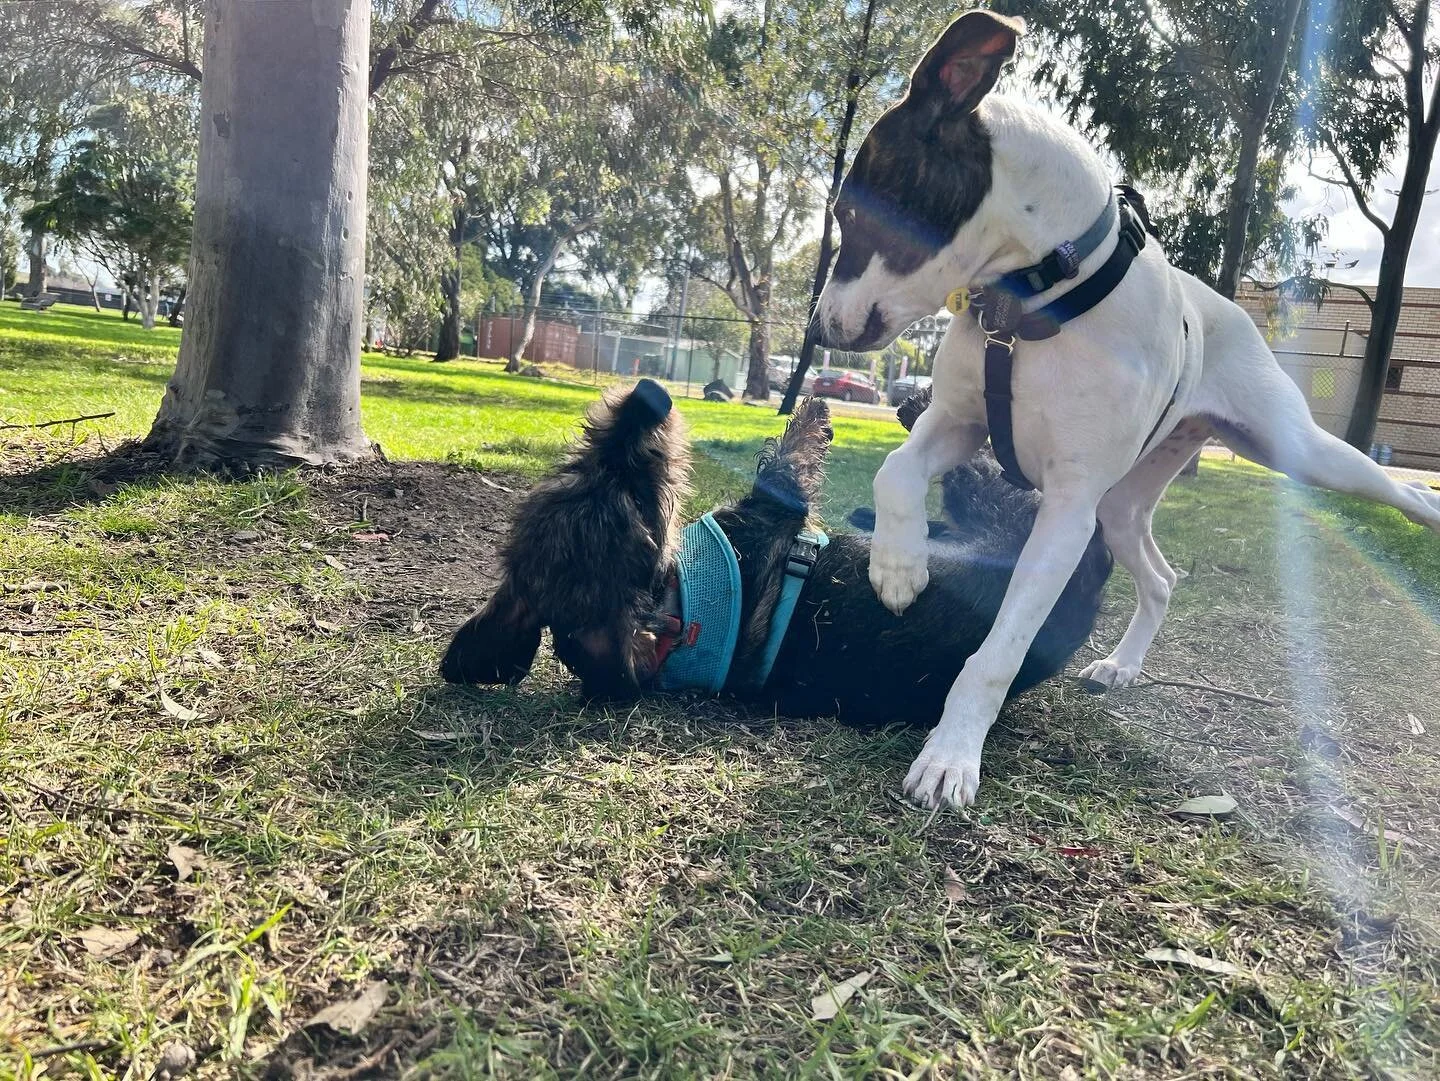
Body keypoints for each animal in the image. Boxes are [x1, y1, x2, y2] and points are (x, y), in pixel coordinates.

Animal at [440, 379, 1112, 728]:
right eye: (633, 494)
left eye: (576, 469)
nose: (647, 397)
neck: (681, 607)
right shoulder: (775, 507)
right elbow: (790, 459)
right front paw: (813, 405)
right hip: (1010, 508)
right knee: (985, 470)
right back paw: (917, 411)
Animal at [815, 10, 1440, 807]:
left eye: (849, 208)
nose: (818, 330)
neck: (1035, 299)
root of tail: (1228, 308)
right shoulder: (958, 424)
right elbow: (894, 469)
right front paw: (899, 568)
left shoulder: (1066, 512)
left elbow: (997, 652)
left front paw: (952, 755)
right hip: (1121, 506)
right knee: (1163, 579)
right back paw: (1122, 664)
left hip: (1290, 451)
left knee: (1387, 486)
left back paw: (1428, 508)